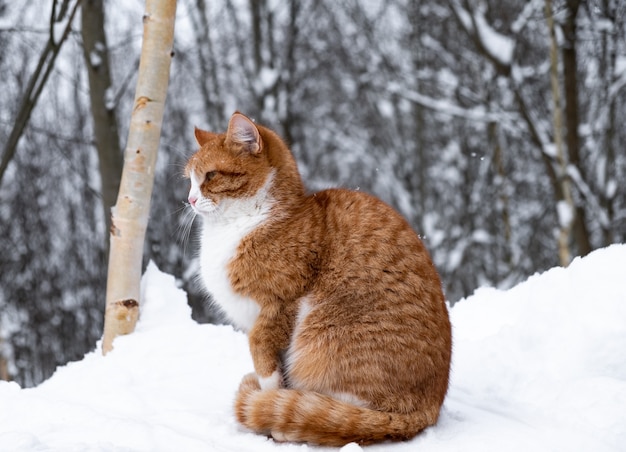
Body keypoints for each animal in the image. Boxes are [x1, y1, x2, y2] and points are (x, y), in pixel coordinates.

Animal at [184, 112, 448, 444]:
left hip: (322, 334)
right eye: (189, 180)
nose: (190, 200)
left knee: (340, 413)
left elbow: (264, 359)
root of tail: (428, 409)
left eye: (210, 176)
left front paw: (269, 400)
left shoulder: (280, 305)